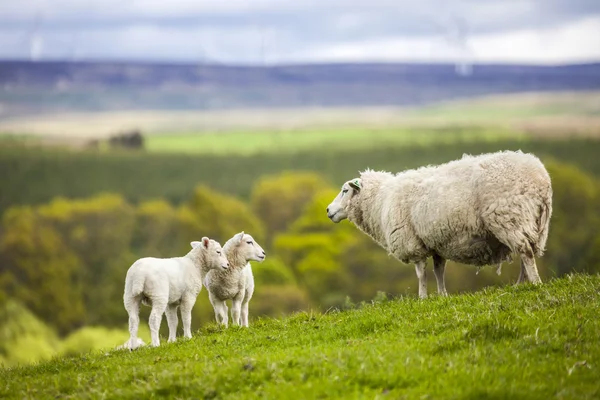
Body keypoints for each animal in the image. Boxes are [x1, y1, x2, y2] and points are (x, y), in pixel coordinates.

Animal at [326, 149, 552, 296]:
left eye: (345, 190)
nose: (328, 210)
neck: (380, 200)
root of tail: (540, 177)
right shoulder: (435, 243)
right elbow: (438, 271)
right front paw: (443, 295)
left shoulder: (412, 243)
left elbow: (421, 274)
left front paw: (422, 298)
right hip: (530, 221)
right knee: (527, 252)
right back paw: (521, 285)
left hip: (509, 216)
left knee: (525, 252)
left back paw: (534, 284)